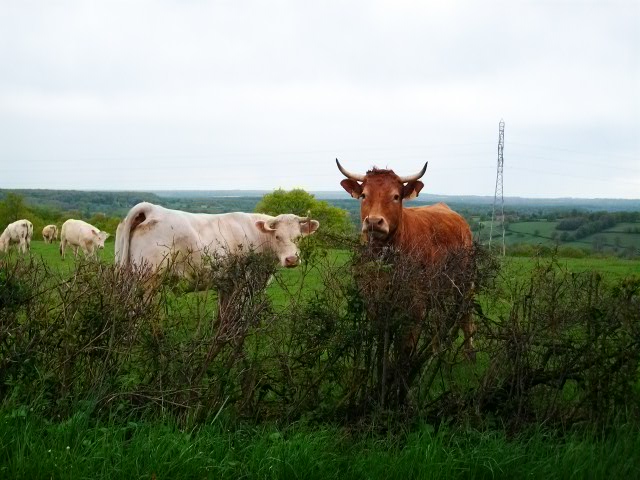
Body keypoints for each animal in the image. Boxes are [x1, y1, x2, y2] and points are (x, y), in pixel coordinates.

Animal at [336, 158, 476, 360]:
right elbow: (383, 340)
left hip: (464, 281)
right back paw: (437, 351)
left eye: (396, 196)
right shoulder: (372, 299)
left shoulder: (416, 304)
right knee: (439, 317)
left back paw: (469, 353)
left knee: (465, 314)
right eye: (363, 195)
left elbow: (406, 345)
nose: (374, 222)